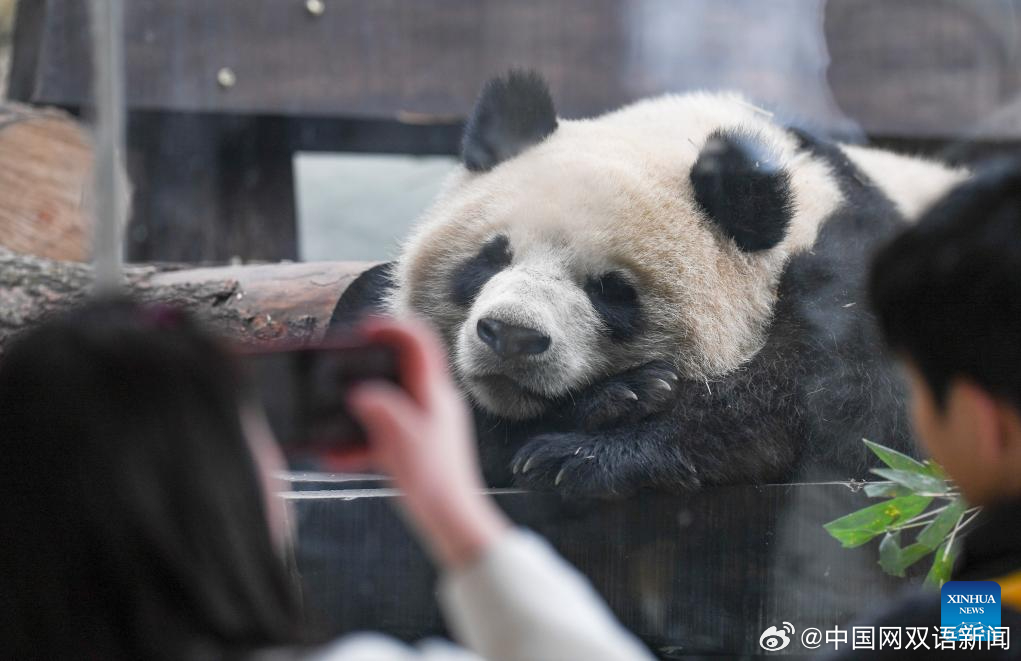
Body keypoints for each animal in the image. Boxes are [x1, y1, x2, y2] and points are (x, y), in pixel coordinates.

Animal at [330, 71, 967, 496]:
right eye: (490, 258)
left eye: (611, 290)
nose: (511, 336)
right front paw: (615, 398)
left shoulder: (851, 255)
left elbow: (853, 404)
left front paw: (588, 450)